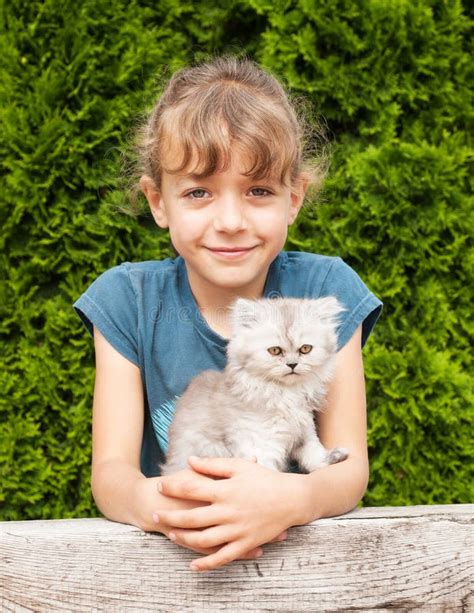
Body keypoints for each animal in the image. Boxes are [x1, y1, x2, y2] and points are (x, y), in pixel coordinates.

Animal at [161, 296, 350, 474]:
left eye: (305, 349)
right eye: (275, 351)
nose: (292, 364)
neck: (285, 393)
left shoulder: (304, 432)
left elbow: (315, 455)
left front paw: (333, 458)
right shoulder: (260, 445)